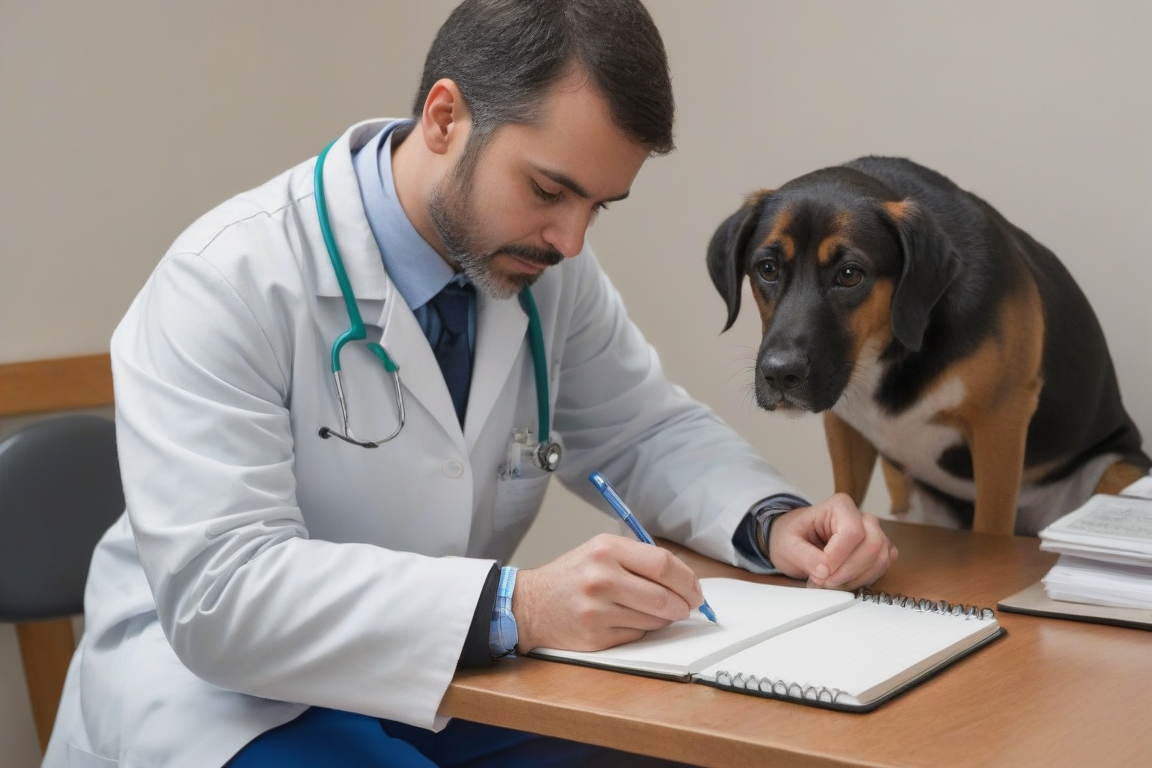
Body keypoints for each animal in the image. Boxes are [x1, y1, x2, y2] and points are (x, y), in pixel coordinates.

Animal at [705, 156, 1147, 538]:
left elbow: (991, 525)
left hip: (1117, 471)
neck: (886, 351)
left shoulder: (1000, 420)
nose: (781, 373)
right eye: (767, 268)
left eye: (850, 274)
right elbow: (845, 496)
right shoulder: (844, 427)